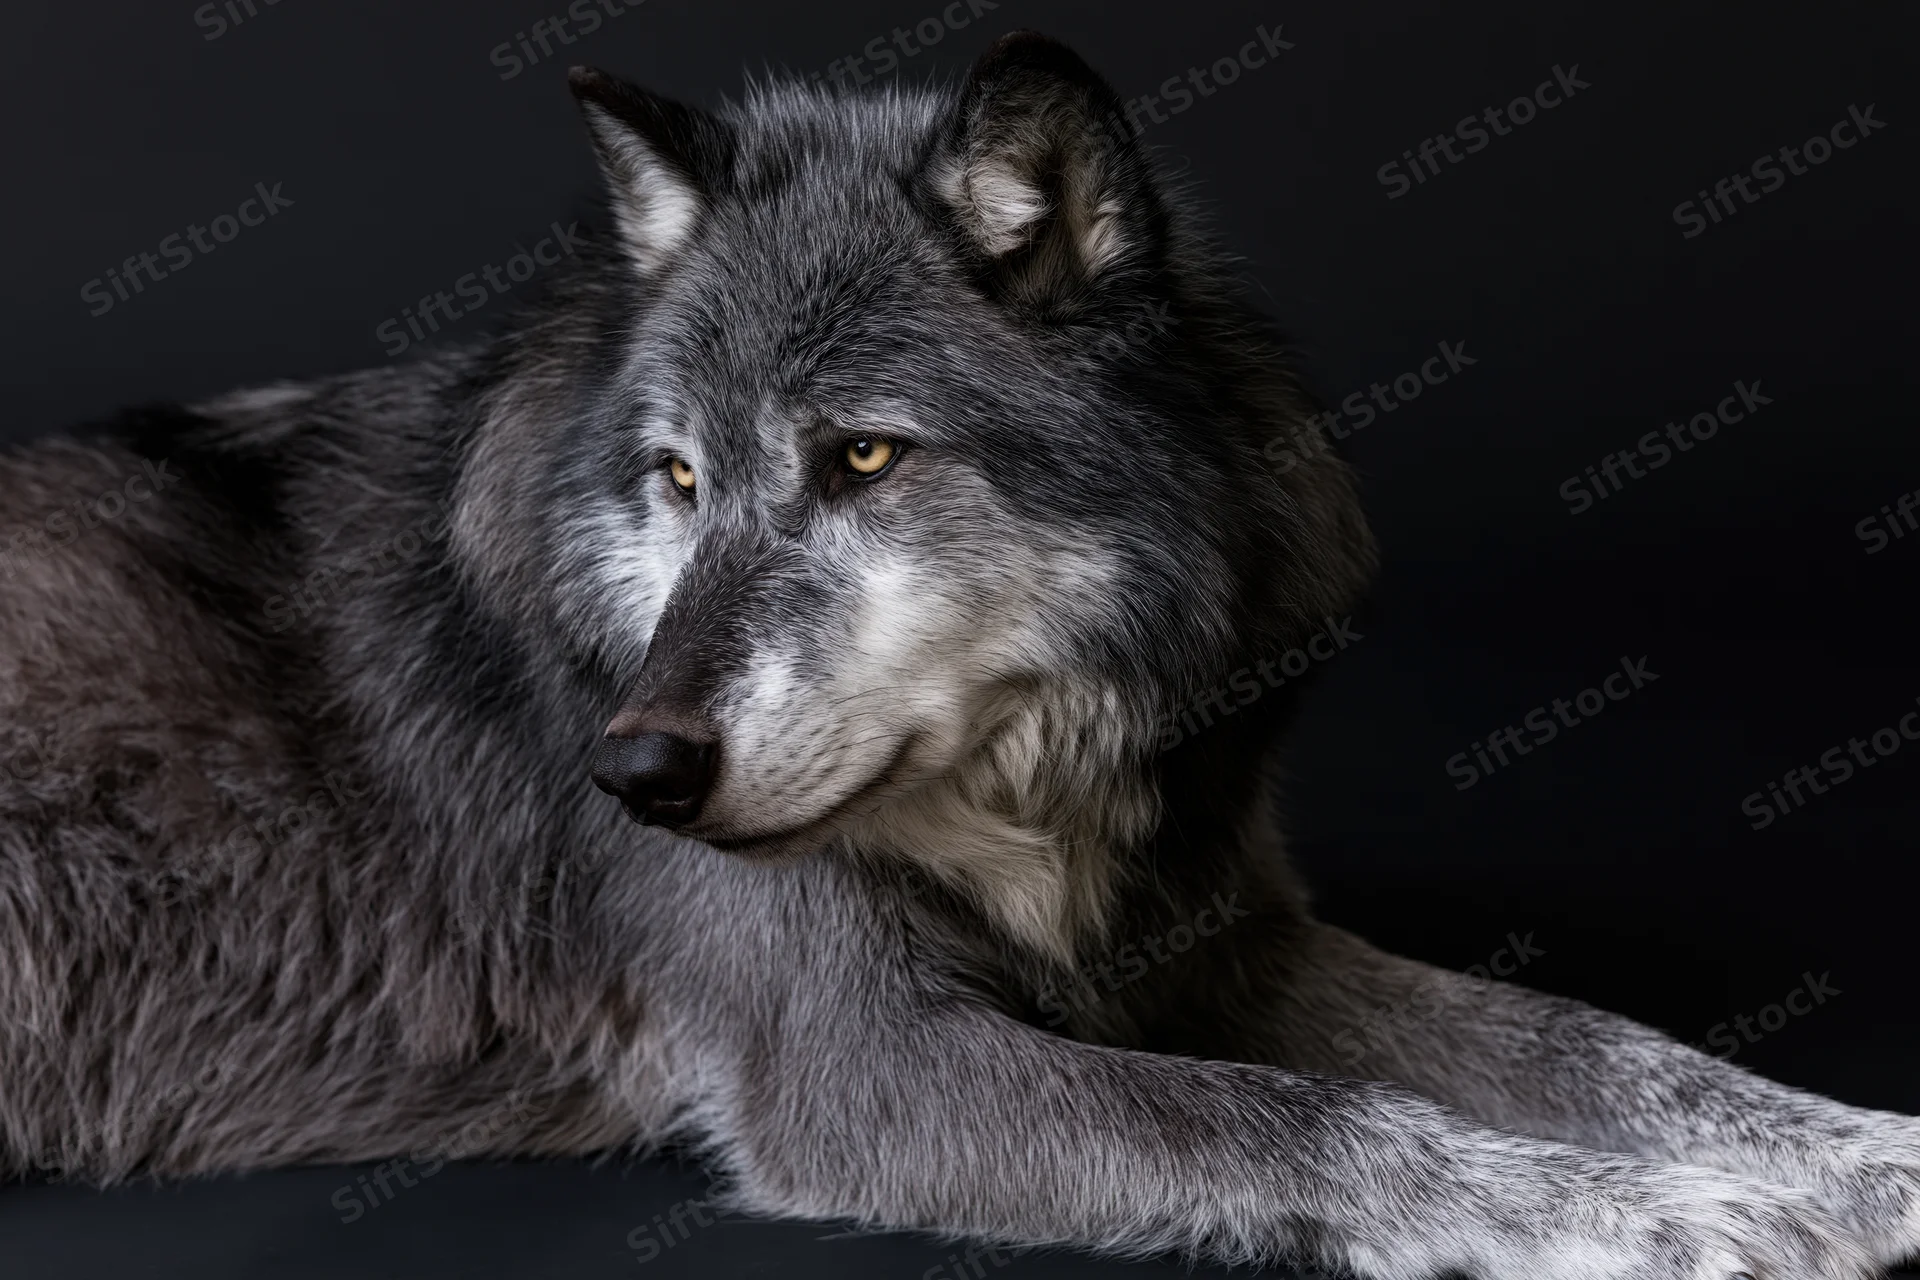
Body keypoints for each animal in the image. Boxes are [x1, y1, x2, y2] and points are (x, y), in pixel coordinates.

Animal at [1, 31, 1915, 1280]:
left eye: (862, 458)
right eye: (678, 479)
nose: (633, 772)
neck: (1017, 789)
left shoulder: (1216, 934)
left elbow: (1600, 1043)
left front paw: (1862, 1158)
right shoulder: (861, 1070)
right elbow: (1298, 1119)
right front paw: (1671, 1217)